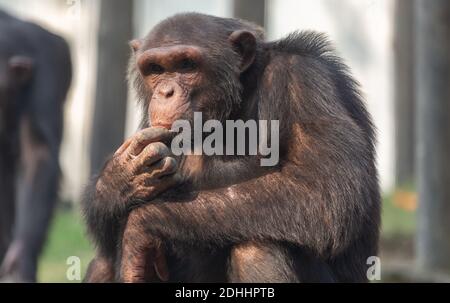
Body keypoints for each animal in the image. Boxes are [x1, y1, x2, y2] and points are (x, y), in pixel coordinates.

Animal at [81, 13, 380, 284]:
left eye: (187, 65)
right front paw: (124, 177)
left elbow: (325, 191)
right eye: (155, 69)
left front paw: (143, 223)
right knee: (103, 262)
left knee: (257, 248)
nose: (166, 92)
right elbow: (106, 236)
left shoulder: (303, 81)